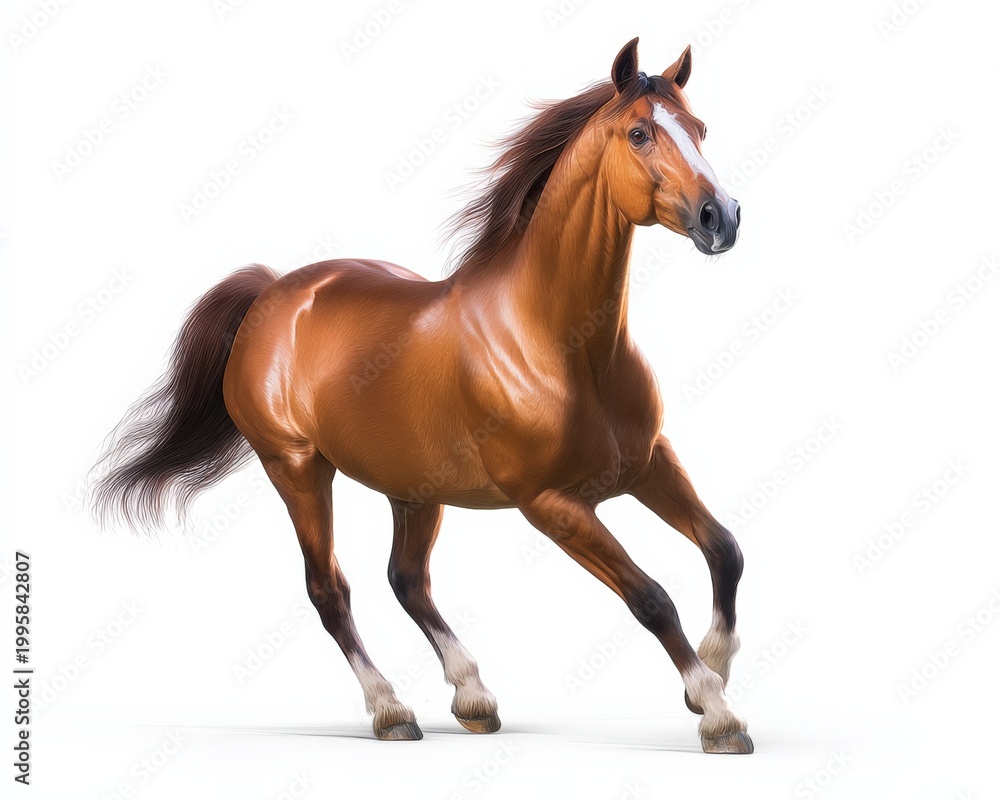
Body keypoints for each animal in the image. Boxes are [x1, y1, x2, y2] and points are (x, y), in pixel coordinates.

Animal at [93, 38, 751, 754]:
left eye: (701, 129)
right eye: (638, 133)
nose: (722, 218)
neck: (564, 344)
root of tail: (273, 292)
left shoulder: (648, 463)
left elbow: (725, 550)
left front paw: (713, 670)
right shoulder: (551, 504)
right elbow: (651, 597)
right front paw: (716, 712)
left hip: (413, 487)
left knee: (407, 581)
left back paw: (473, 698)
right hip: (295, 468)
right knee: (329, 589)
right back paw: (392, 712)